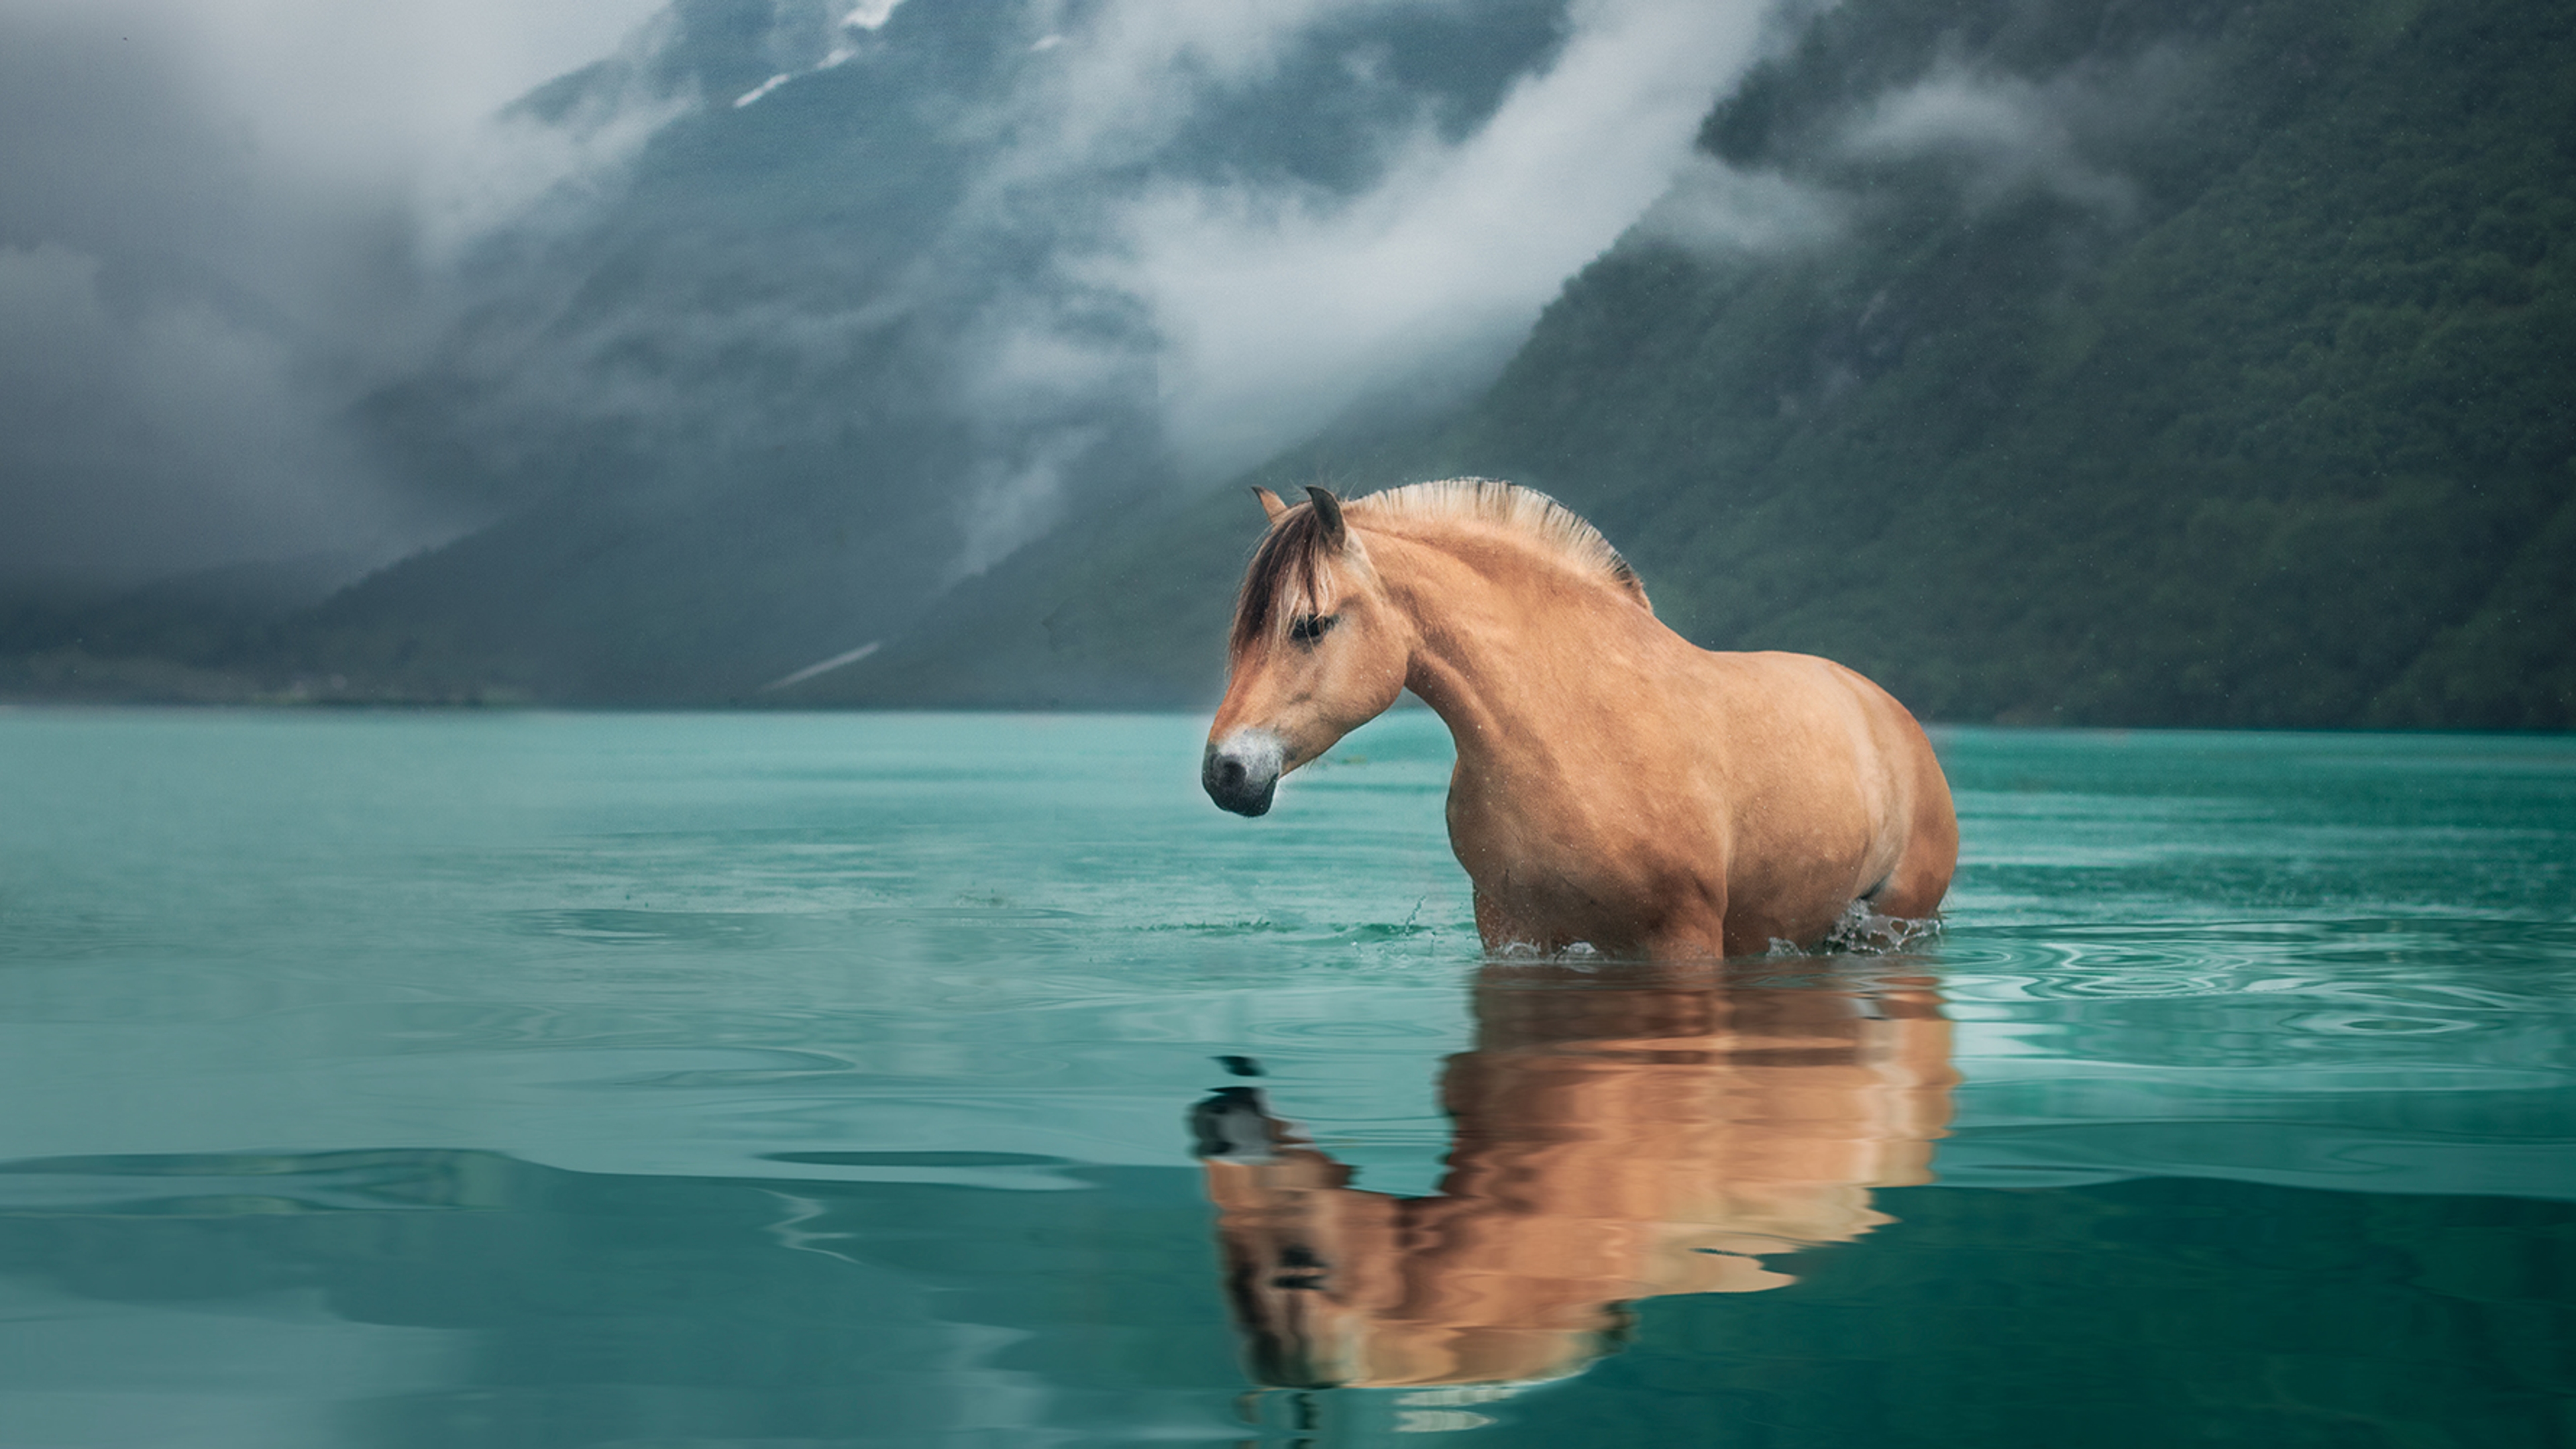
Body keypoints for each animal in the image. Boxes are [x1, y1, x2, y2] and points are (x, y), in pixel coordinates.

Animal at [1201, 480, 1957, 958]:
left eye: (1311, 623)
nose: (1225, 773)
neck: (1569, 731)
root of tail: (1894, 717)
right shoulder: (1514, 932)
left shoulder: (1683, 937)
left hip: (1892, 919)